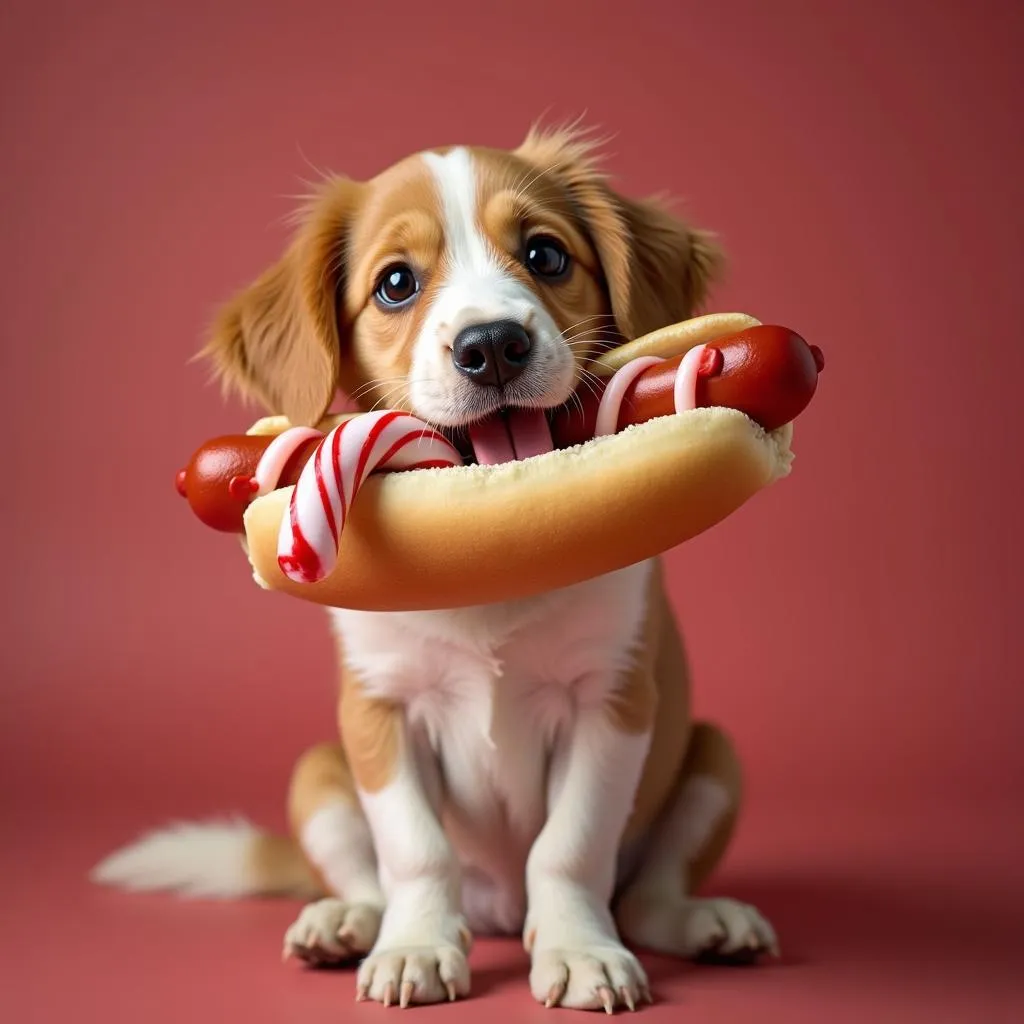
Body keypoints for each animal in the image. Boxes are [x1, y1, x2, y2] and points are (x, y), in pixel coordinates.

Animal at [97, 121, 782, 1007]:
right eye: (395, 283)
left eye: (546, 255)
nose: (491, 345)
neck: (487, 567)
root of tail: (497, 912)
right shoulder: (382, 711)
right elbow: (415, 851)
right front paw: (417, 946)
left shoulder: (612, 701)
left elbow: (571, 847)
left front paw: (579, 950)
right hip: (316, 773)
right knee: (366, 879)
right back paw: (345, 923)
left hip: (713, 753)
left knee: (648, 896)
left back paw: (703, 921)